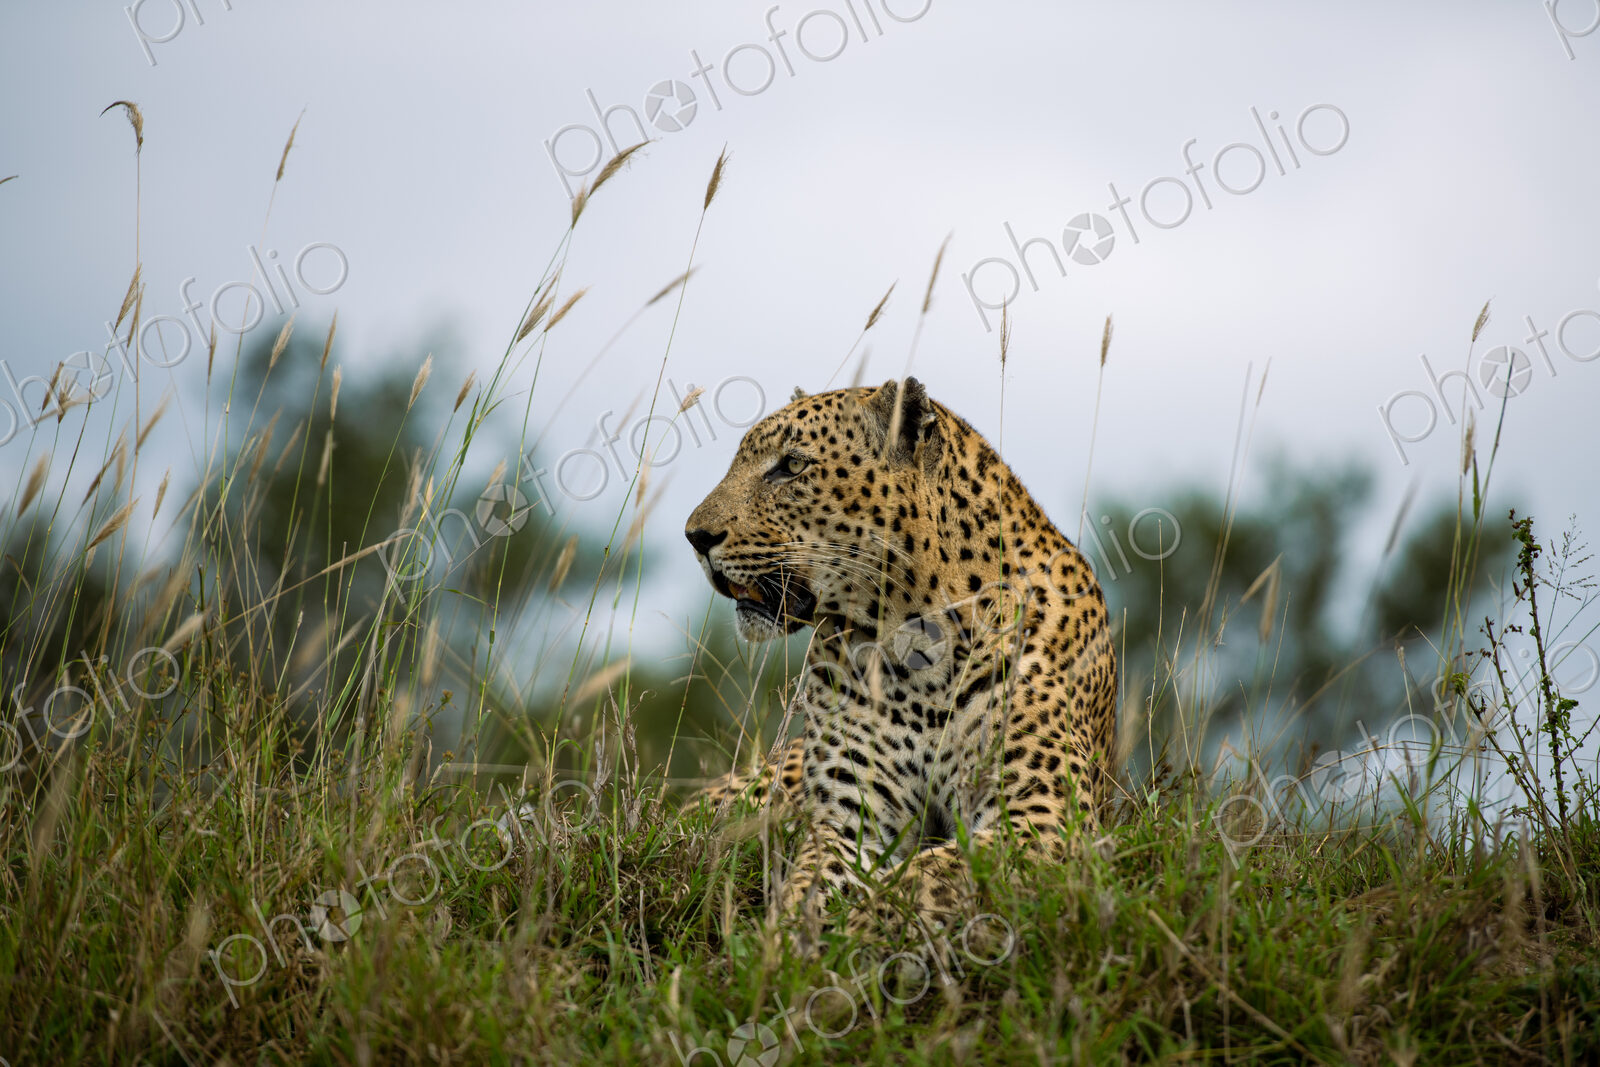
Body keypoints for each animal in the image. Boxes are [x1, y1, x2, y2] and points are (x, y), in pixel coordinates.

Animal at [683, 377, 1117, 939]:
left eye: (792, 465)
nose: (694, 536)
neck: (916, 643)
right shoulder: (852, 819)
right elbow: (810, 885)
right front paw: (783, 942)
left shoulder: (1042, 813)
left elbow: (923, 880)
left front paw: (848, 934)